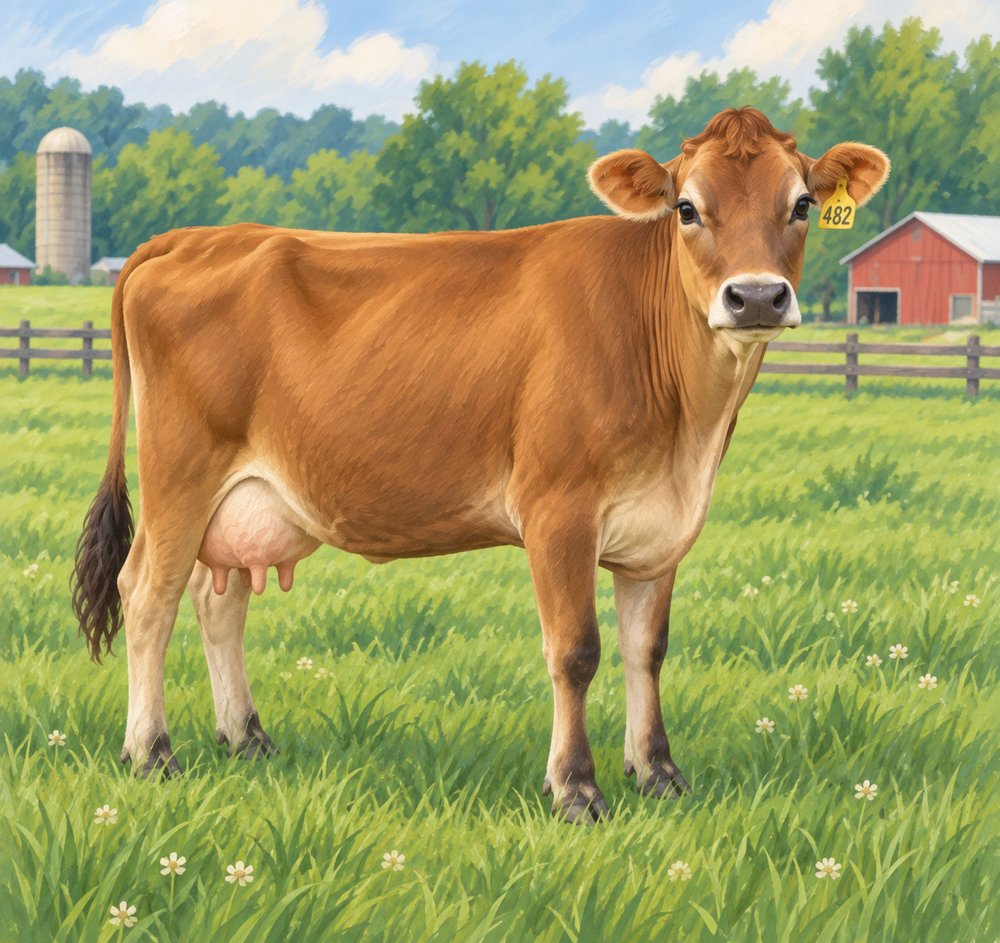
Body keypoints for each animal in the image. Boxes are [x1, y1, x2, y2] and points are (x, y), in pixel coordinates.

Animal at [72, 107, 889, 823]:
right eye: (687, 208)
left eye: (803, 204)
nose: (756, 296)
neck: (689, 430)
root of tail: (193, 237)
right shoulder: (558, 510)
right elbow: (576, 650)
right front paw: (576, 789)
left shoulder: (659, 531)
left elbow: (646, 650)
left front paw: (658, 773)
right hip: (181, 473)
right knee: (148, 594)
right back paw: (151, 752)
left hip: (248, 497)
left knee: (220, 602)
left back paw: (246, 737)